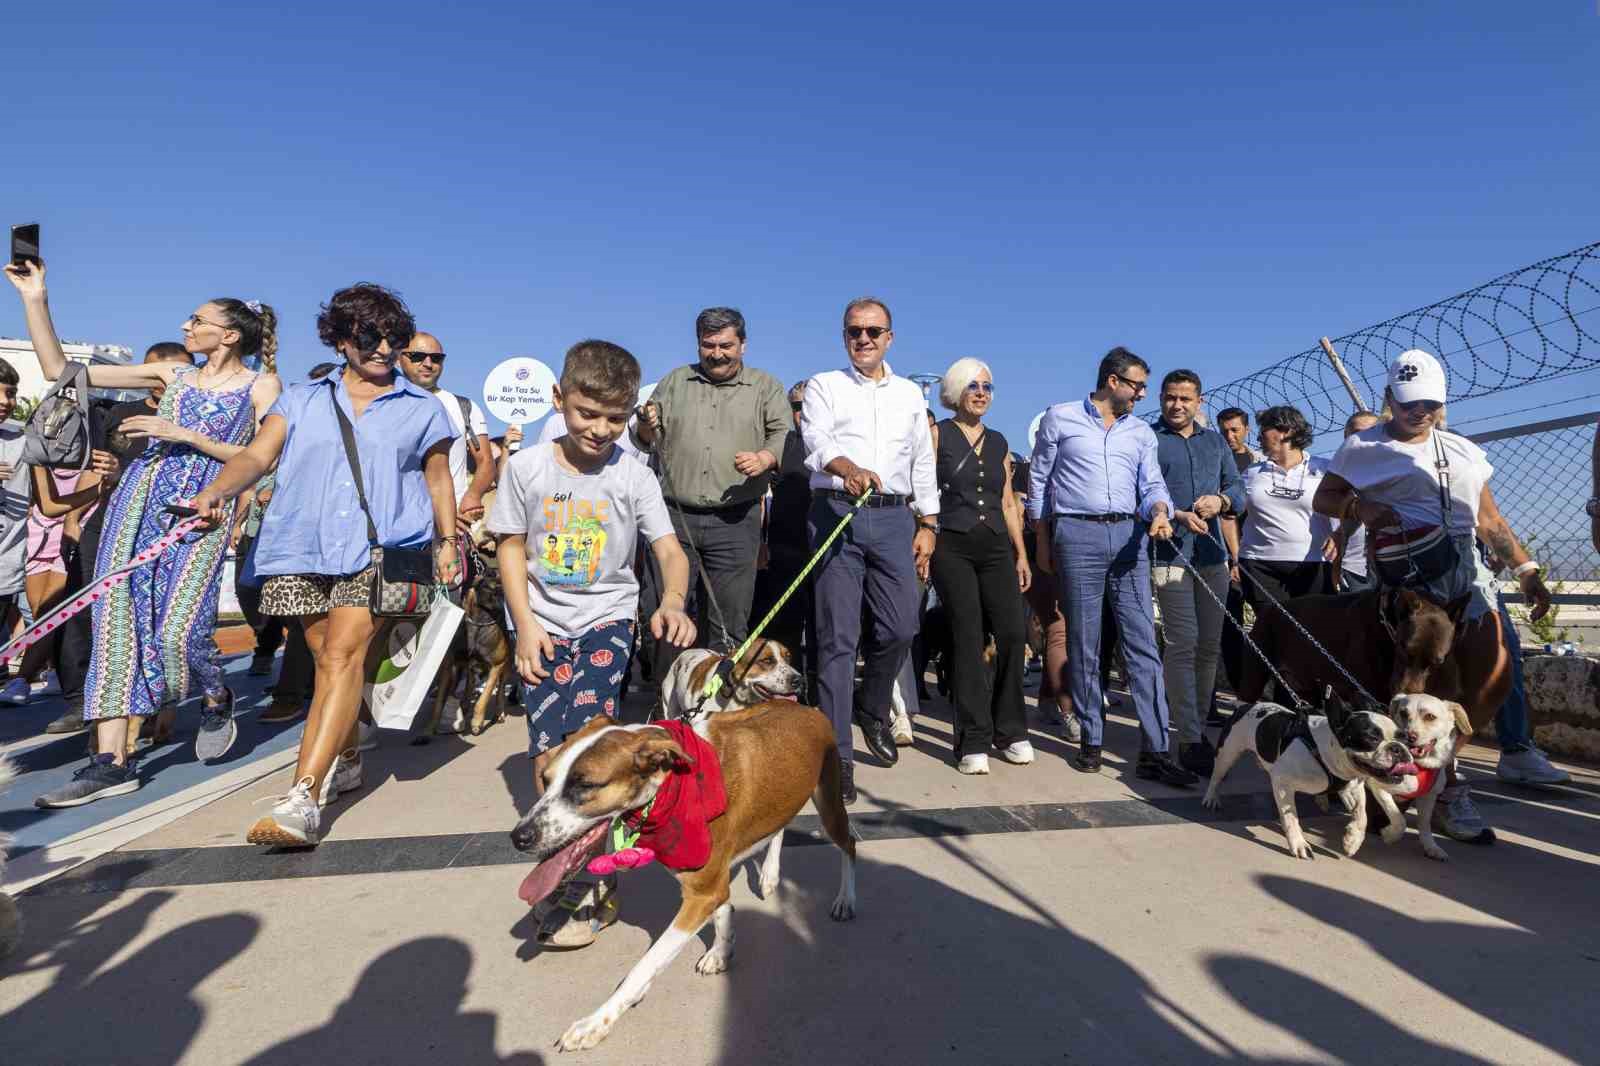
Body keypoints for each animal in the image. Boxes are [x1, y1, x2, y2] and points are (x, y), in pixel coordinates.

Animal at [512, 697, 864, 1043]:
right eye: (545, 779)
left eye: (585, 785)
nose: (519, 837)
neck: (667, 785)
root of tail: (804, 706)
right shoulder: (710, 886)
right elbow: (722, 909)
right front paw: (721, 950)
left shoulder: (701, 894)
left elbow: (646, 964)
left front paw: (597, 1021)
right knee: (779, 827)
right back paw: (770, 874)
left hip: (828, 802)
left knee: (848, 843)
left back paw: (846, 899)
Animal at [1203, 694, 1420, 857]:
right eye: (1372, 738)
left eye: (1405, 739)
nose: (1398, 748)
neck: (1327, 752)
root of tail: (1246, 705)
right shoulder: (1283, 782)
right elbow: (1291, 817)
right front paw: (1298, 843)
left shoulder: (1353, 785)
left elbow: (1361, 814)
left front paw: (1352, 841)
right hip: (1227, 753)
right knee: (1216, 776)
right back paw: (1211, 798)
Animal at [1376, 694, 1472, 857]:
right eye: (1403, 713)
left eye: (1430, 717)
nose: (1409, 736)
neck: (1419, 766)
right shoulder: (1377, 786)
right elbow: (1399, 819)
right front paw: (1391, 835)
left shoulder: (1428, 797)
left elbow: (1424, 823)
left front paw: (1431, 846)